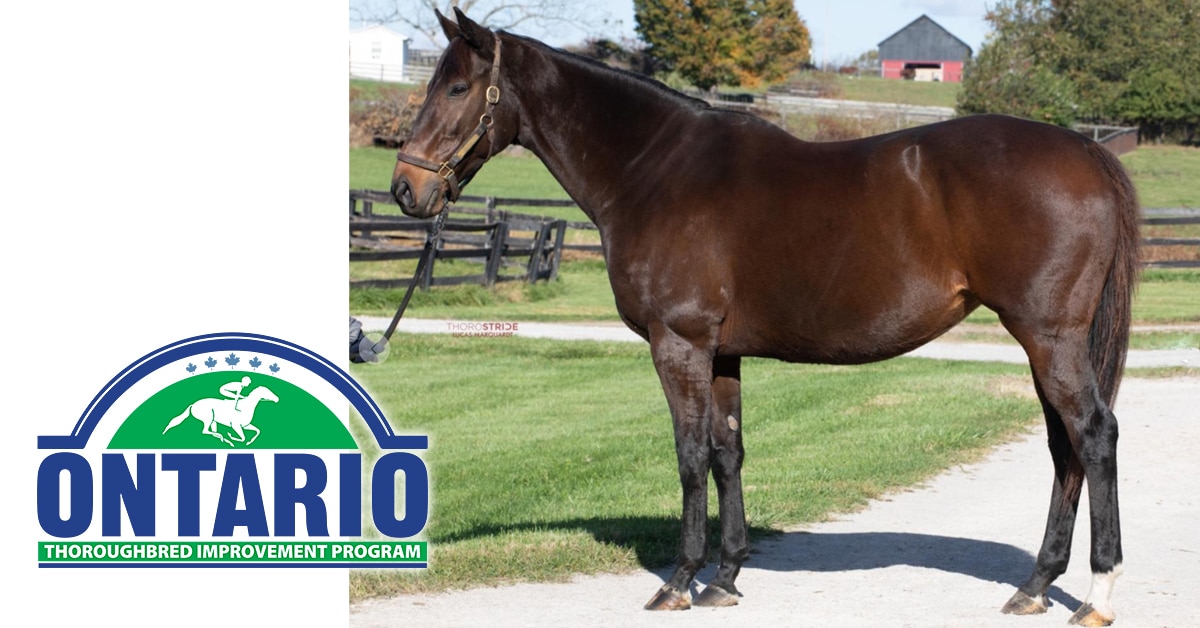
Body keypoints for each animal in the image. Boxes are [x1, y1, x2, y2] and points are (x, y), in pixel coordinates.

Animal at [391, 9, 1141, 626]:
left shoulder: (679, 344)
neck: (654, 171)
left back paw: (1097, 595)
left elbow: (690, 455)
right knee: (1064, 448)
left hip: (1049, 340)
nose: (406, 188)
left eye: (457, 89)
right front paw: (725, 579)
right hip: (1046, 346)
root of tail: (1088, 151)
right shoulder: (721, 352)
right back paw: (1035, 587)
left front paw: (679, 581)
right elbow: (728, 453)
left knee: (1094, 436)